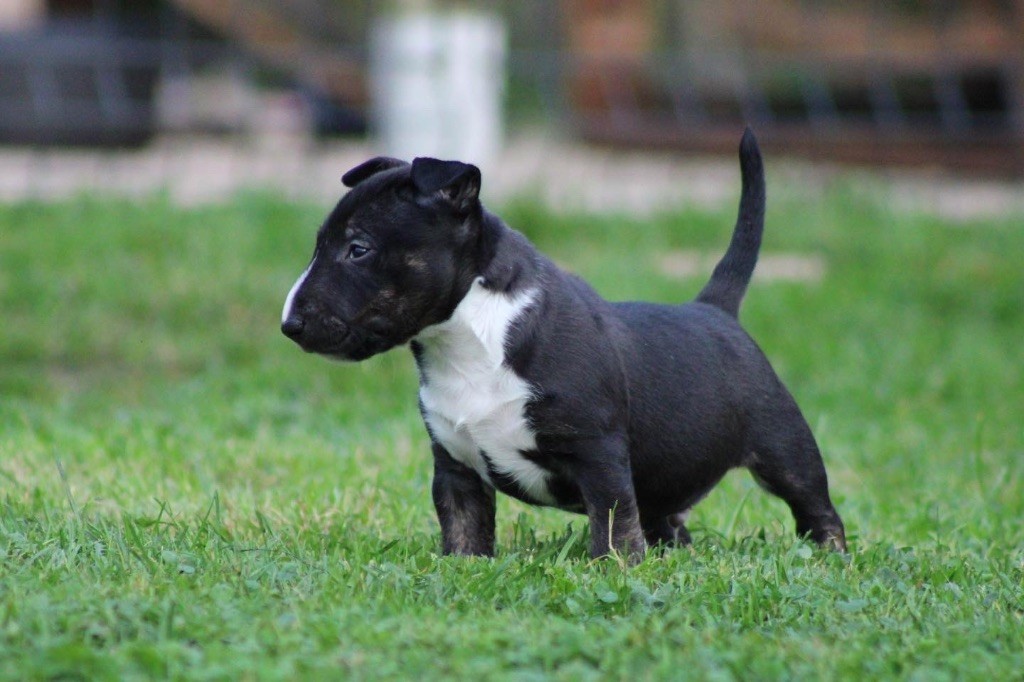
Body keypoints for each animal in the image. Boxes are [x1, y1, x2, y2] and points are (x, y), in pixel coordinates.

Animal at [281, 129, 846, 560]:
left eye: (358, 249)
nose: (290, 325)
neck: (470, 339)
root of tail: (715, 309)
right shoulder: (455, 466)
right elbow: (462, 526)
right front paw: (462, 567)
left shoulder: (599, 452)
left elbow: (613, 523)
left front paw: (615, 570)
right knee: (669, 523)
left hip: (784, 445)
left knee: (817, 507)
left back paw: (830, 557)